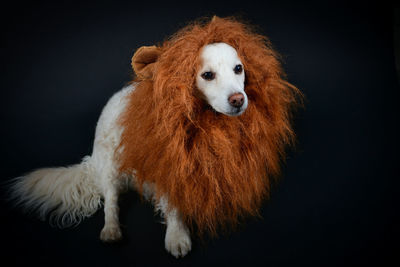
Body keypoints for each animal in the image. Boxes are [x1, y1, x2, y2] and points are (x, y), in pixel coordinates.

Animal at [8, 15, 300, 258]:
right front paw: (177, 236)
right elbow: (171, 205)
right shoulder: (168, 162)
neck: (204, 121)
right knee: (110, 200)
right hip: (110, 165)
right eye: (207, 75)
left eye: (239, 69)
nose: (239, 100)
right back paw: (111, 230)